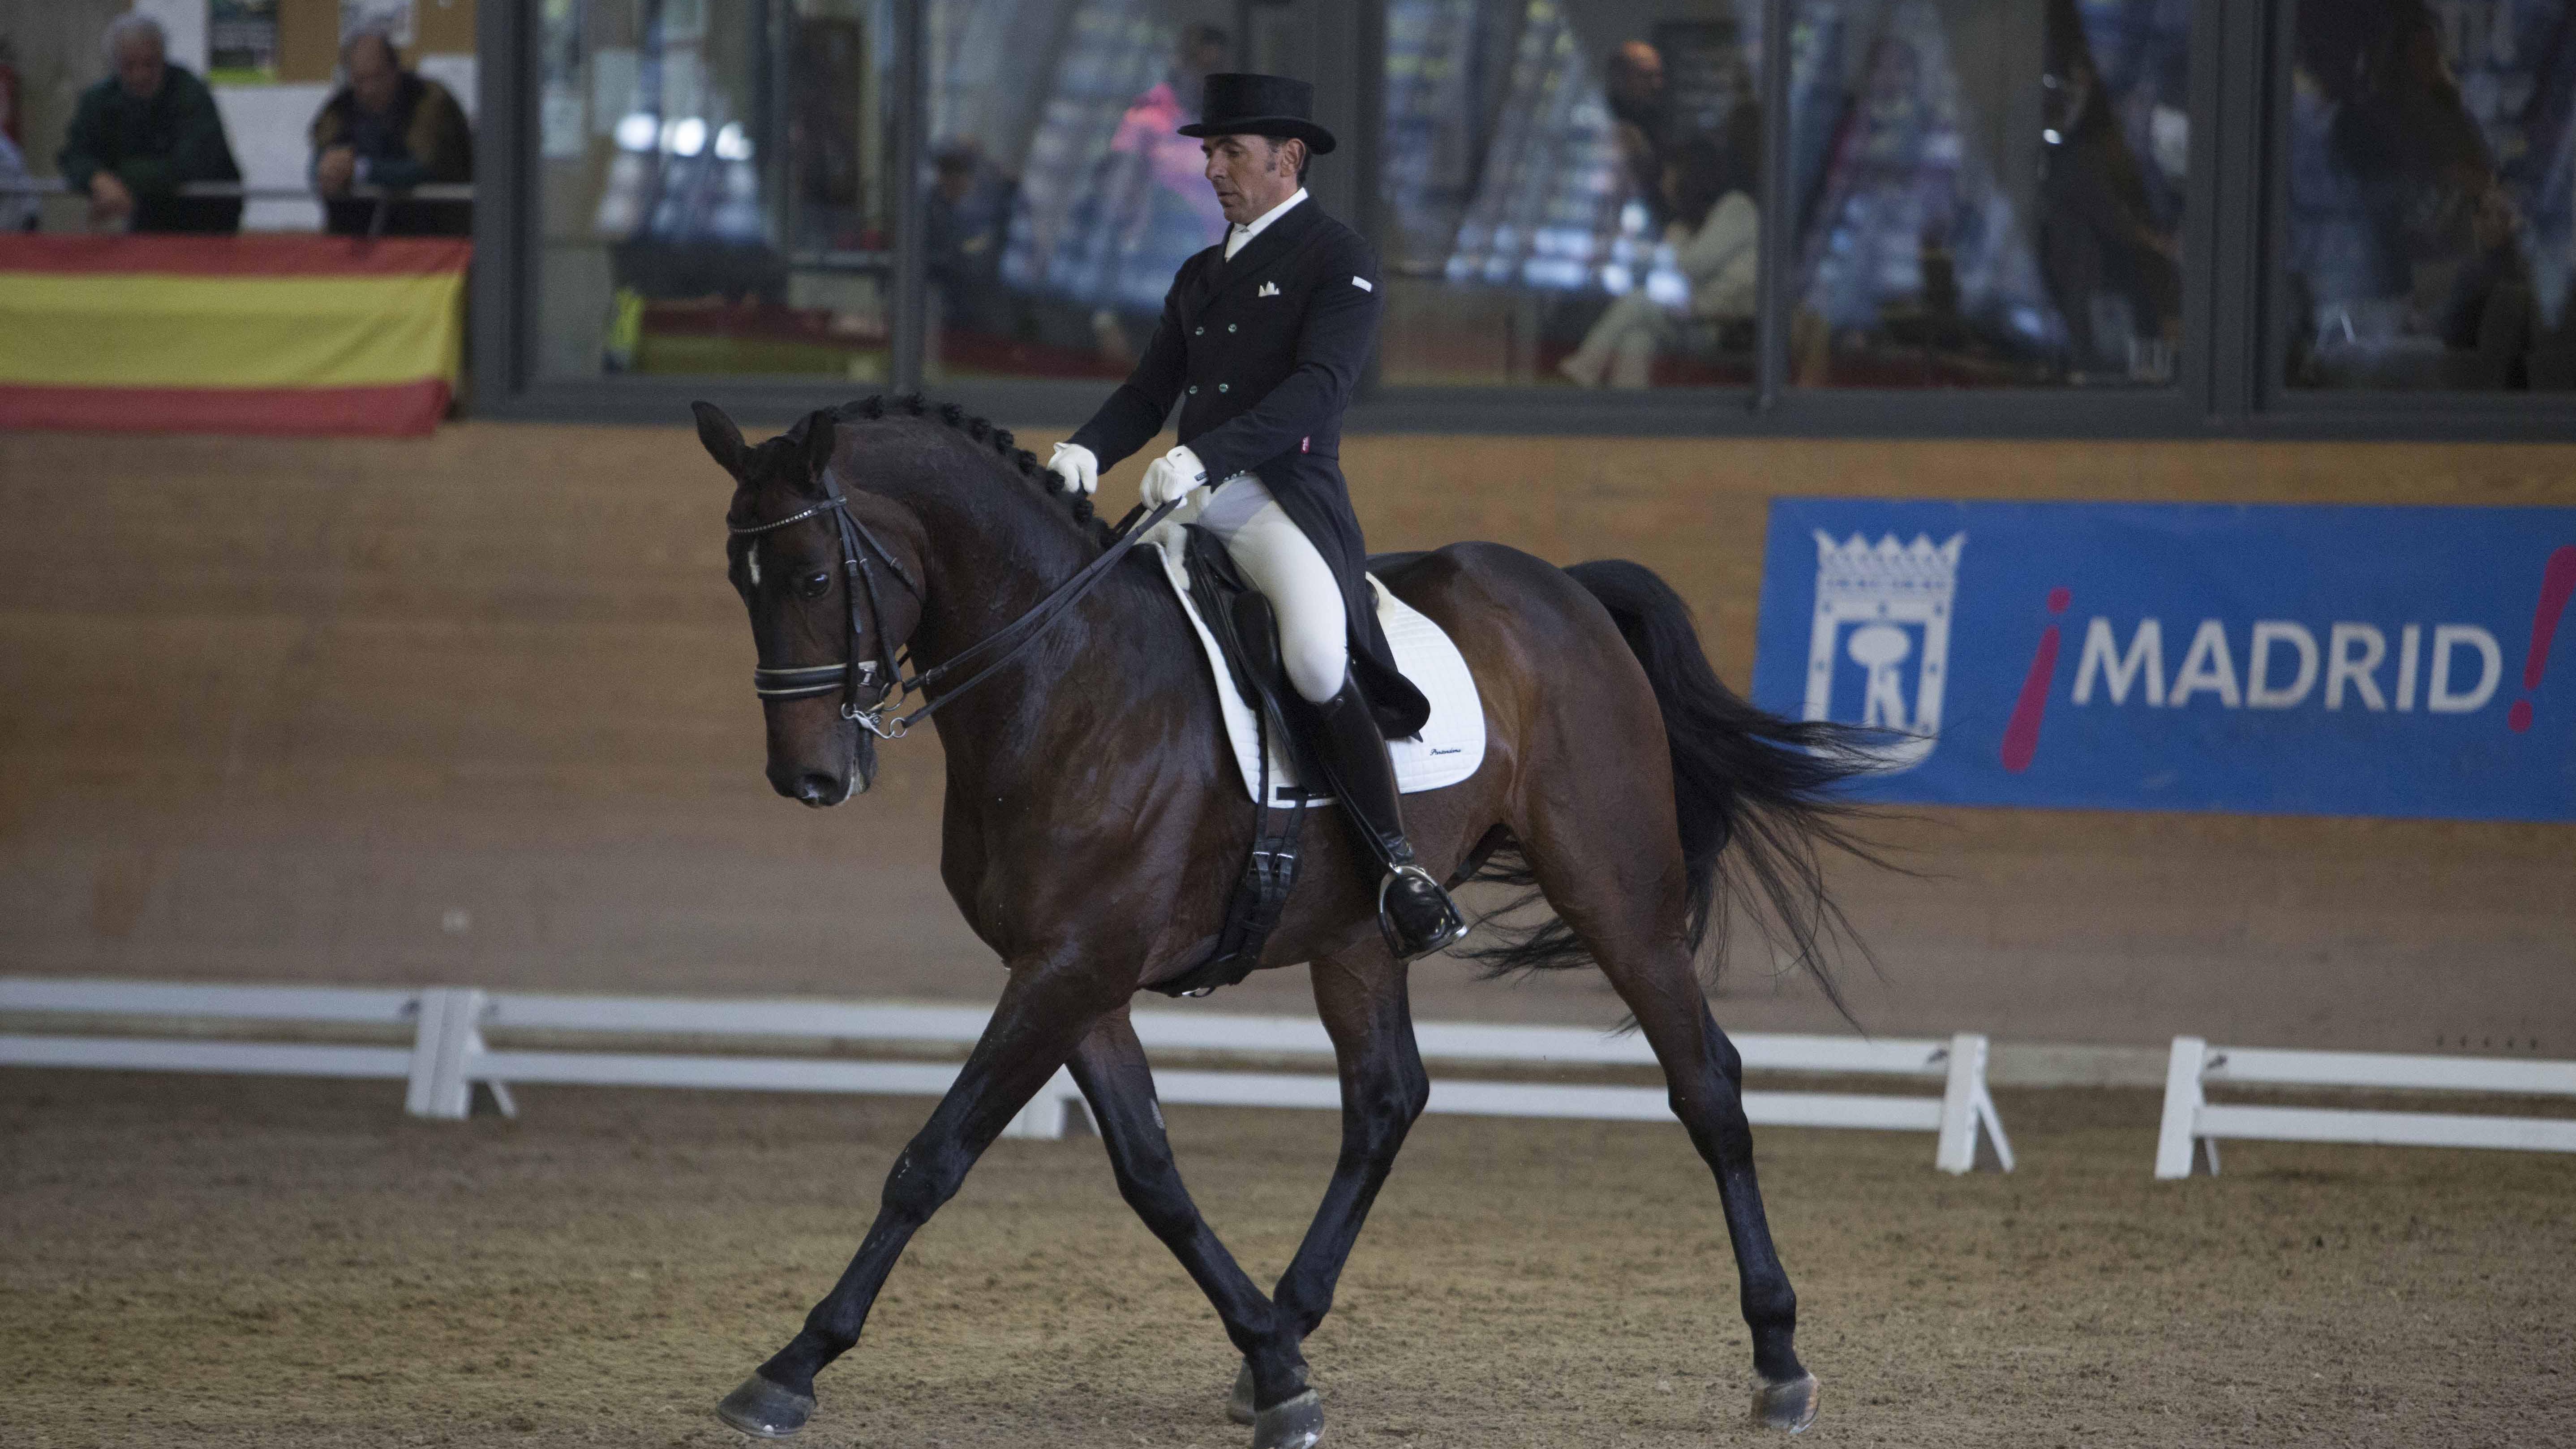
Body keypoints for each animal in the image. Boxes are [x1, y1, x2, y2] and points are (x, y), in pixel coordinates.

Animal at [696, 394, 1885, 1444]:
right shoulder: (1068, 976)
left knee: (1705, 1083)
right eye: (738, 584)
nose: (807, 779)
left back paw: (1779, 1361)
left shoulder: (1072, 967)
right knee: (1385, 1100)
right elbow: (1151, 1175)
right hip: (1357, 936)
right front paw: (1272, 1365)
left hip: (1616, 892)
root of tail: (1565, 590)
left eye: (812, 575)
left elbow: (932, 1158)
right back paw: (1292, 1318)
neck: (1063, 678)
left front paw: (789, 1367)